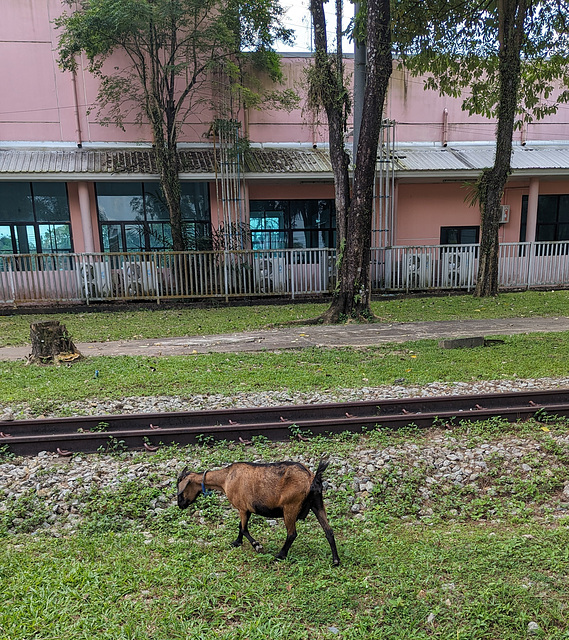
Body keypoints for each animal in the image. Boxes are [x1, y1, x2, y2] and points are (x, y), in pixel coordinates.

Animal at [175, 460, 340, 564]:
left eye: (180, 488)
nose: (180, 505)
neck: (226, 478)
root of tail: (312, 478)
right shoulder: (245, 509)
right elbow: (240, 527)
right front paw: (237, 542)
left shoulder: (243, 507)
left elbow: (243, 528)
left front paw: (256, 545)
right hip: (317, 504)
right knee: (329, 531)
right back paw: (336, 560)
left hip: (290, 507)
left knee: (292, 534)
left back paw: (280, 555)